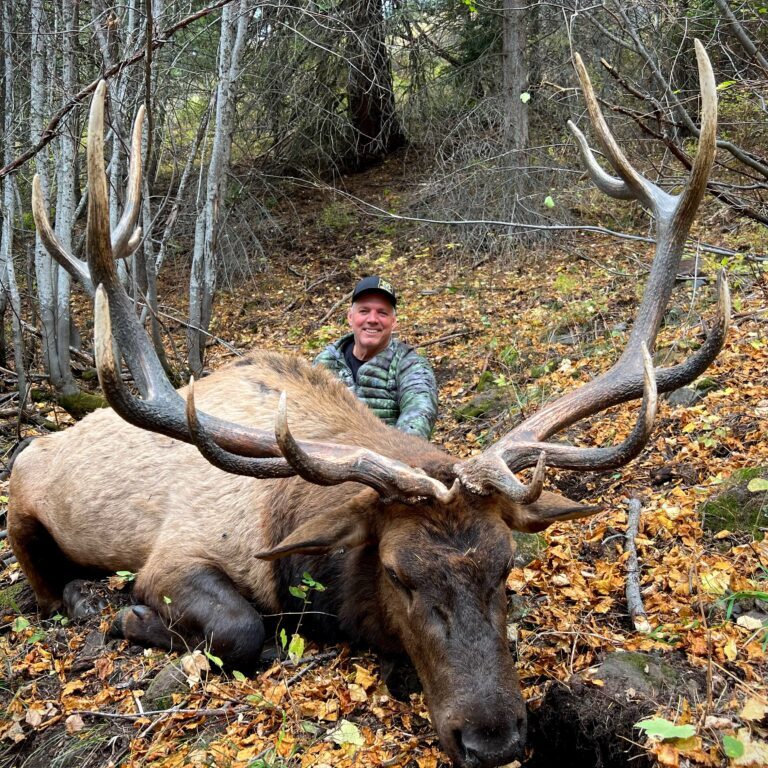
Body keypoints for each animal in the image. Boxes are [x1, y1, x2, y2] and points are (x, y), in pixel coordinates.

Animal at [9, 40, 726, 768]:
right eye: (396, 572)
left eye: (506, 567)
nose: (493, 738)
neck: (287, 531)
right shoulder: (173, 553)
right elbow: (241, 630)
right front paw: (130, 615)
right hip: (22, 505)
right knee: (42, 585)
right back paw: (88, 599)